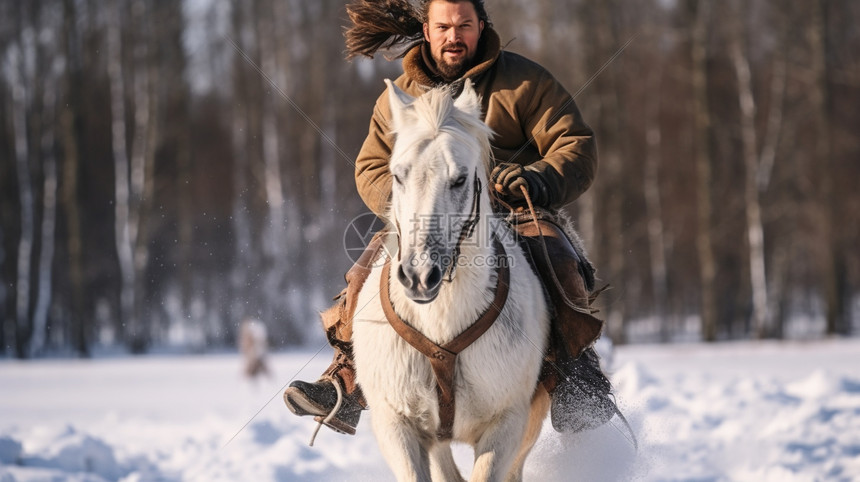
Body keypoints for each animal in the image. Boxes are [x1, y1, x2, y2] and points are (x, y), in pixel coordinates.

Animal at [354, 80, 552, 482]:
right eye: (398, 175)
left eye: (460, 179)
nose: (418, 276)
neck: (442, 323)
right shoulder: (396, 424)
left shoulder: (507, 424)